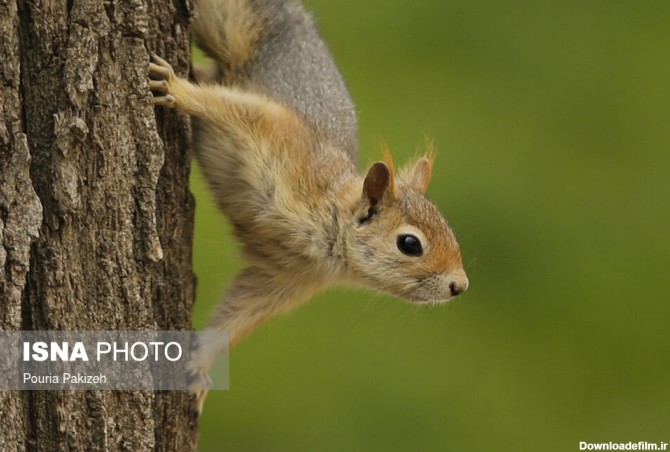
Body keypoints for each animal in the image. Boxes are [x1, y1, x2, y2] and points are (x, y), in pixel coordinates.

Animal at [150, 0, 470, 412]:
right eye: (410, 244)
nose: (460, 286)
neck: (327, 224)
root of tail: (297, 20)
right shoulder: (280, 137)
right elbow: (232, 108)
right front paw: (176, 88)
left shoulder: (283, 278)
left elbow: (238, 315)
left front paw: (200, 368)